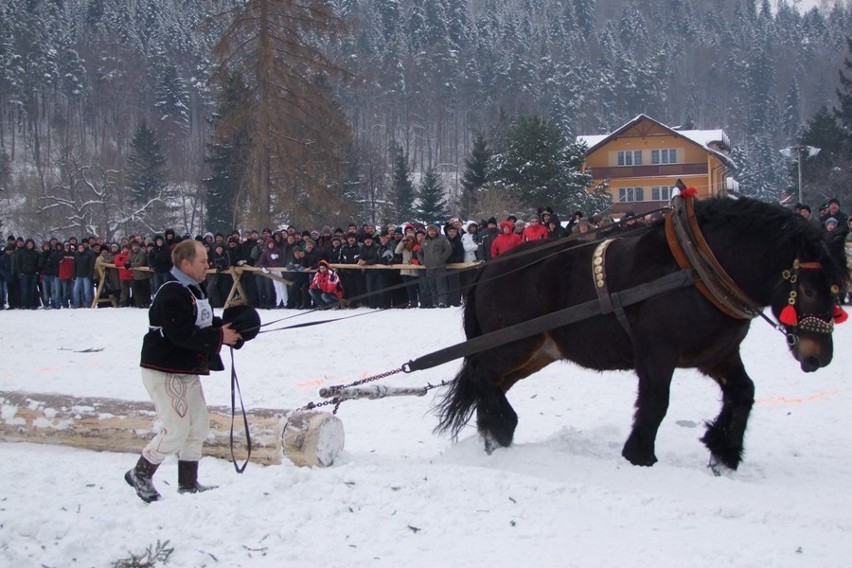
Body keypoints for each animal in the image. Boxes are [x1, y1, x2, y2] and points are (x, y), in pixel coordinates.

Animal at [436, 195, 848, 470]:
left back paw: (492, 434)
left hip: (535, 352)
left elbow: (744, 393)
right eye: (809, 290)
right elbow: (655, 403)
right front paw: (640, 454)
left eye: (836, 288)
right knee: (481, 374)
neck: (697, 269)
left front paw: (724, 452)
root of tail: (489, 268)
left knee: (489, 384)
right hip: (515, 344)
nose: (819, 356)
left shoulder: (719, 355)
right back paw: (502, 427)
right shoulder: (657, 355)